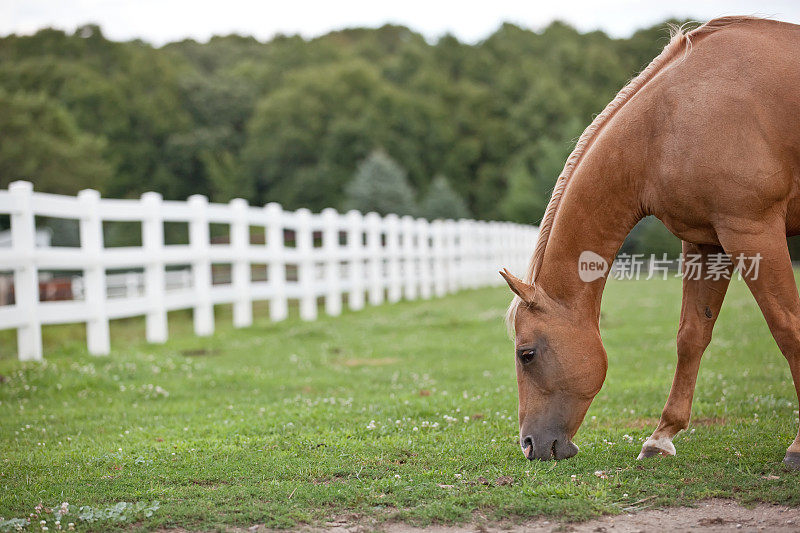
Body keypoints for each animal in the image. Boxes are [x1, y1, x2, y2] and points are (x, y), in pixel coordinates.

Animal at [506, 15, 800, 470]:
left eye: (527, 354)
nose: (528, 445)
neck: (668, 121)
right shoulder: (706, 243)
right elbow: (692, 335)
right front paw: (661, 438)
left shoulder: (752, 230)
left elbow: (789, 329)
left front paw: (798, 447)